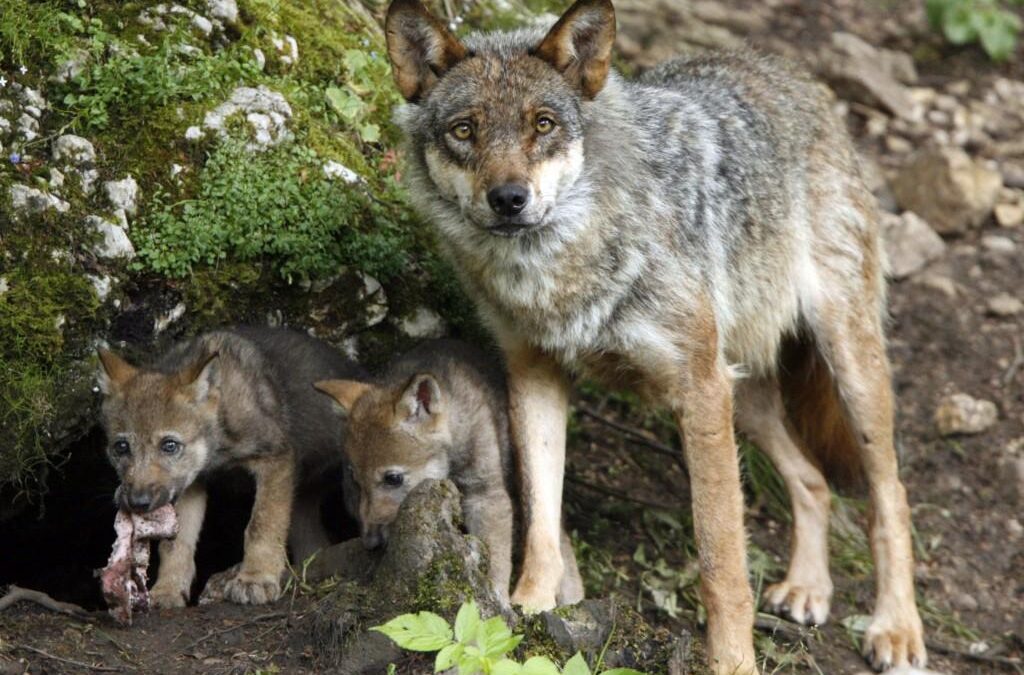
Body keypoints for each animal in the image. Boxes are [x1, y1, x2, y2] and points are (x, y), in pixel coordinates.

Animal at [97, 326, 365, 607]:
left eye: (169, 445)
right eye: (121, 447)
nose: (137, 502)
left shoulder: (275, 459)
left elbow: (261, 524)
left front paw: (255, 579)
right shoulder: (190, 483)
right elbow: (176, 543)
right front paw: (167, 590)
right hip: (302, 503)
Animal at [315, 338, 585, 606]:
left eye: (393, 479)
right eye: (356, 481)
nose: (371, 543)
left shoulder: (486, 494)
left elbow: (495, 556)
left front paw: (497, 600)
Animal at [384, 0, 926, 671]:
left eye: (543, 124)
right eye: (464, 130)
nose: (509, 198)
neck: (558, 272)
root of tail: (790, 74)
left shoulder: (699, 390)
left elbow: (721, 562)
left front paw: (732, 662)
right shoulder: (534, 372)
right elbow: (541, 519)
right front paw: (528, 613)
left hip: (842, 370)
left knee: (890, 494)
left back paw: (896, 628)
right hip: (744, 396)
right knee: (813, 481)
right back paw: (807, 587)